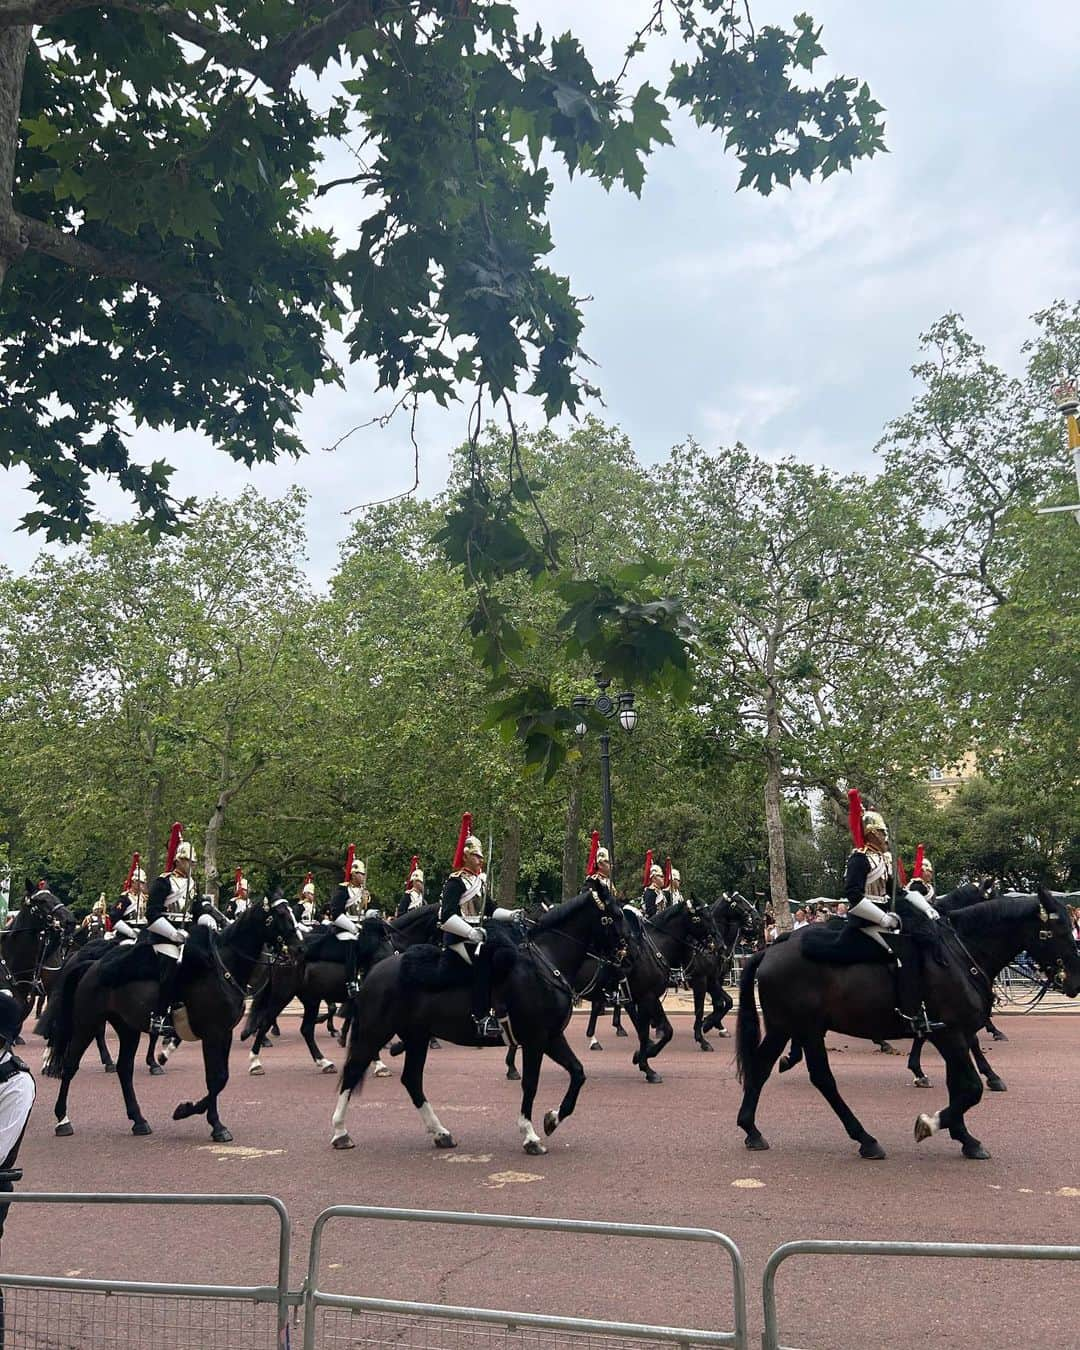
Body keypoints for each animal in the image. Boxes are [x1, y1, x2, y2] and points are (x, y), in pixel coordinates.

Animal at [38, 896, 295, 1139]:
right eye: (281, 914)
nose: (299, 947)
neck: (222, 969)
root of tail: (91, 964)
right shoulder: (213, 1033)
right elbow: (216, 1077)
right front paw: (197, 1116)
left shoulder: (224, 1033)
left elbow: (221, 1077)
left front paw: (203, 1117)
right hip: (86, 1024)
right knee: (70, 1065)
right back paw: (63, 1120)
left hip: (128, 1029)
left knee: (124, 1069)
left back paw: (139, 1120)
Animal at [326, 885, 623, 1161]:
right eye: (615, 917)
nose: (624, 960)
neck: (546, 967)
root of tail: (374, 971)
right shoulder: (536, 1039)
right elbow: (531, 1083)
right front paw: (530, 1136)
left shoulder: (551, 1037)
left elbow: (578, 1073)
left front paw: (551, 1119)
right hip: (375, 1032)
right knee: (353, 1071)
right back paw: (341, 1132)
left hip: (417, 1036)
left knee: (411, 1080)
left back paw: (441, 1133)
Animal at [734, 896, 1080, 1161]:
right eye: (1057, 930)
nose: (1074, 982)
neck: (960, 954)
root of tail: (769, 949)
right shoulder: (949, 1032)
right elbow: (970, 1088)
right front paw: (931, 1124)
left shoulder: (953, 1033)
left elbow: (959, 1085)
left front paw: (964, 1136)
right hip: (805, 1027)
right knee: (821, 1078)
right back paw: (865, 1139)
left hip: (785, 1027)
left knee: (761, 1068)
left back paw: (752, 1130)